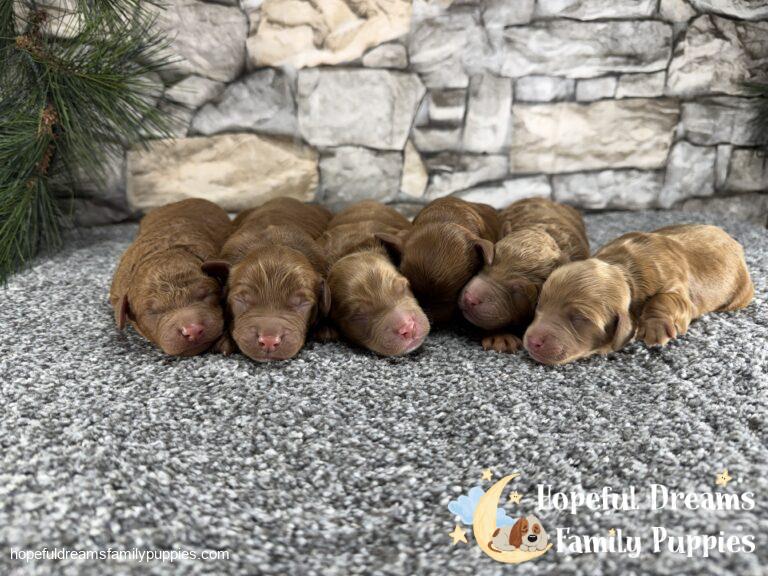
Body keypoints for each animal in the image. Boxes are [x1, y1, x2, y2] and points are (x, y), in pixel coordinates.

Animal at [523, 224, 754, 365]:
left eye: (579, 318)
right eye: (539, 306)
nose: (532, 340)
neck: (625, 270)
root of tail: (734, 241)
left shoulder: (677, 288)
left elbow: (666, 299)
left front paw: (655, 327)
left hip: (739, 294)